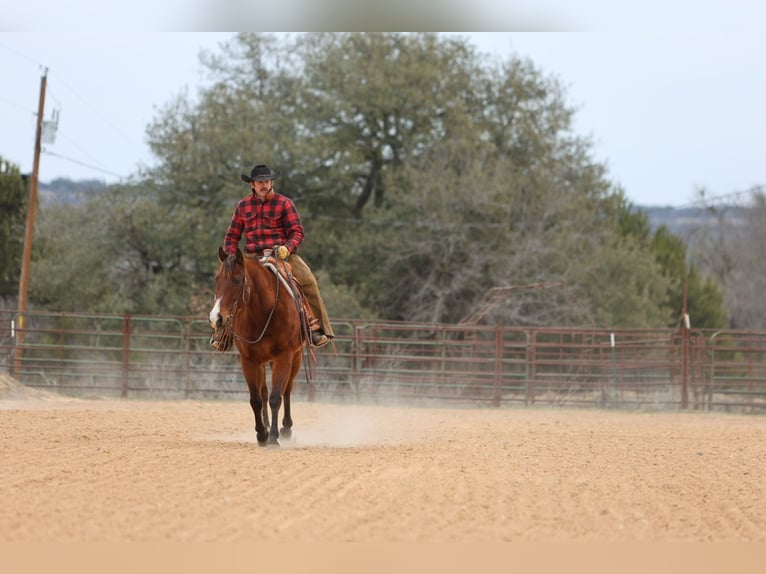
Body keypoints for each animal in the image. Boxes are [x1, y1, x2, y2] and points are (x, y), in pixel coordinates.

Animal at [212, 245, 308, 448]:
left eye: (238, 280)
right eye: (217, 279)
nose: (216, 318)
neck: (263, 312)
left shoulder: (284, 357)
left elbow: (276, 397)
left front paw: (273, 437)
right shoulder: (248, 360)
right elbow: (256, 399)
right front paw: (261, 434)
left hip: (295, 358)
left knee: (287, 390)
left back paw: (286, 429)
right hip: (263, 362)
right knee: (263, 392)